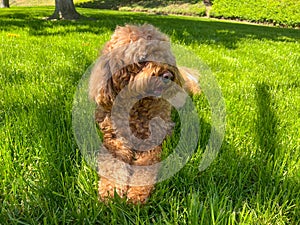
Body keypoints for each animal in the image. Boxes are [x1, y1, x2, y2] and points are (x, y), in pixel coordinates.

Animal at [89, 24, 199, 204]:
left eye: (163, 55)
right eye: (142, 58)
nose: (168, 75)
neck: (136, 107)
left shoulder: (152, 143)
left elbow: (145, 171)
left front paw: (136, 194)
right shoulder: (115, 141)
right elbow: (113, 166)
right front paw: (111, 192)